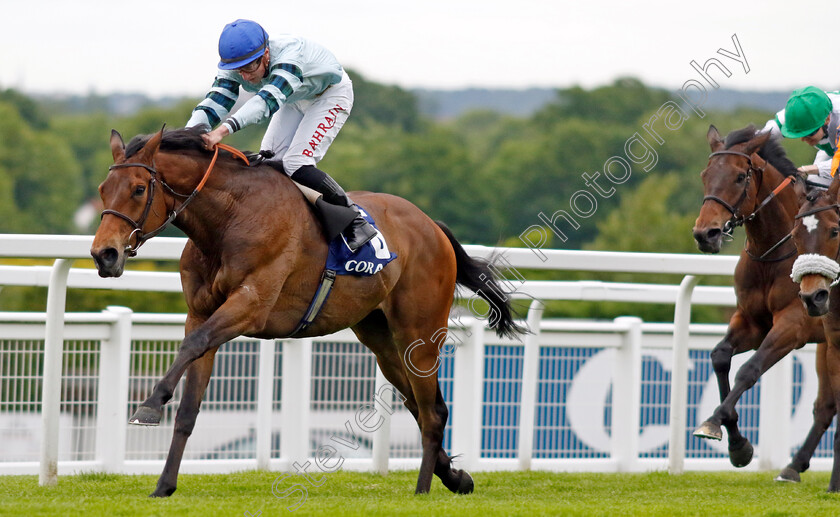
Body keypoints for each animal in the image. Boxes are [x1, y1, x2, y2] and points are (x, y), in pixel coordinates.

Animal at [92, 126, 524, 496]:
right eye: (103, 189)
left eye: (138, 188)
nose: (104, 254)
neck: (230, 218)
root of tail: (432, 226)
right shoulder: (201, 312)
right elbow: (188, 408)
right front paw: (164, 485)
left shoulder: (250, 305)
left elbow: (192, 345)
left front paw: (149, 406)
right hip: (380, 338)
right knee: (419, 405)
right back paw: (455, 477)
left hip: (419, 330)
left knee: (432, 411)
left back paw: (423, 489)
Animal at [692, 125, 832, 480]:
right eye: (705, 175)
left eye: (740, 177)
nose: (705, 234)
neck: (773, 252)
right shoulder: (751, 321)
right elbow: (720, 357)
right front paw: (737, 445)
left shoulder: (795, 324)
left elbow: (750, 369)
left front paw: (713, 423)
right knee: (826, 405)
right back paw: (795, 466)